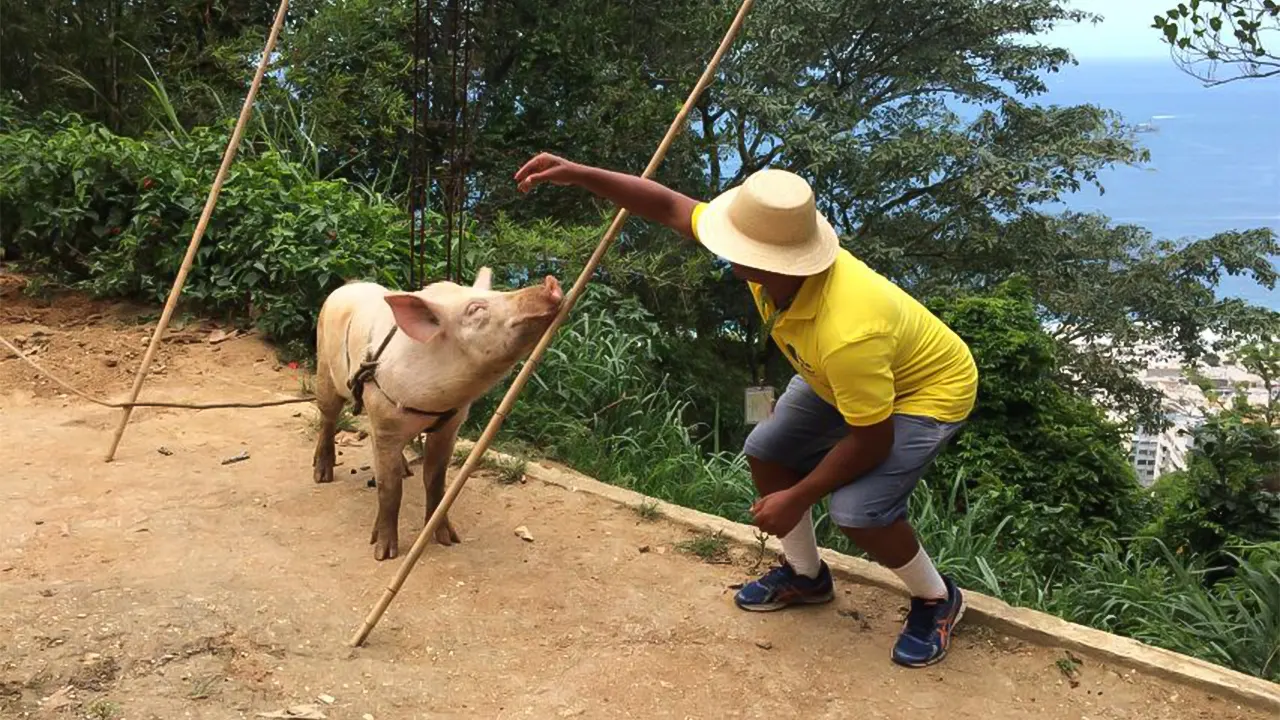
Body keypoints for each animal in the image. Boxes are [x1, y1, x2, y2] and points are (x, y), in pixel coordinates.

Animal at [309, 266, 560, 558]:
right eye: (476, 308)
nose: (551, 284)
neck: (435, 403)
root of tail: (348, 285)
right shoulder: (385, 419)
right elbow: (389, 488)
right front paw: (384, 553)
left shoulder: (451, 424)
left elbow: (436, 481)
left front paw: (448, 540)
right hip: (324, 366)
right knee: (328, 417)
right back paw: (322, 475)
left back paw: (406, 470)